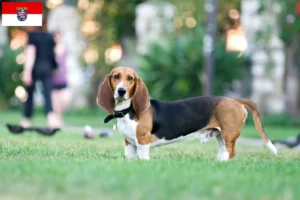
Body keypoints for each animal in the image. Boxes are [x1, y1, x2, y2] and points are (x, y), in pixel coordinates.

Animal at [97, 67, 278, 161]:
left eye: (131, 78)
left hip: (228, 134)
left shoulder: (142, 141)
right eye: (116, 76)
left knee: (230, 152)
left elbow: (144, 157)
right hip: (221, 135)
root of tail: (234, 100)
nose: (121, 91)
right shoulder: (129, 144)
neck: (126, 111)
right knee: (223, 151)